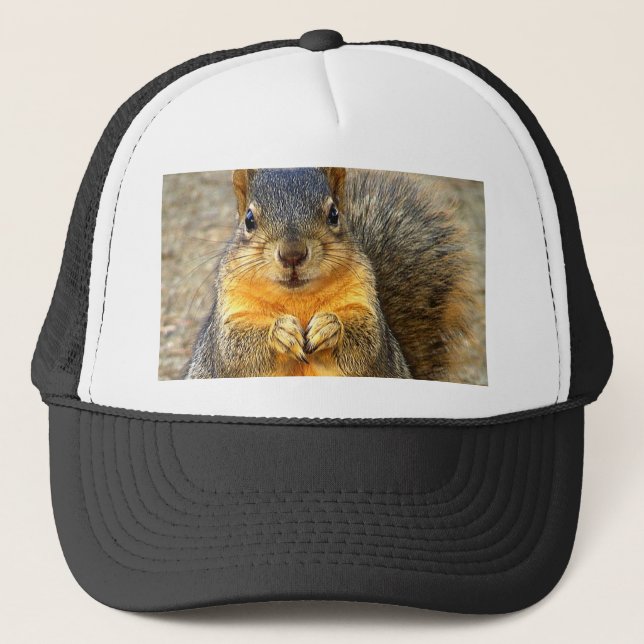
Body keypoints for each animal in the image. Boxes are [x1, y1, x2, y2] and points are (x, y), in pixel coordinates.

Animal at [186, 167, 472, 381]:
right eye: (249, 219)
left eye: (334, 214)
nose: (292, 254)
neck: (297, 297)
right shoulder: (230, 314)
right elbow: (233, 349)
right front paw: (280, 332)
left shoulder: (365, 303)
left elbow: (369, 344)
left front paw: (330, 327)